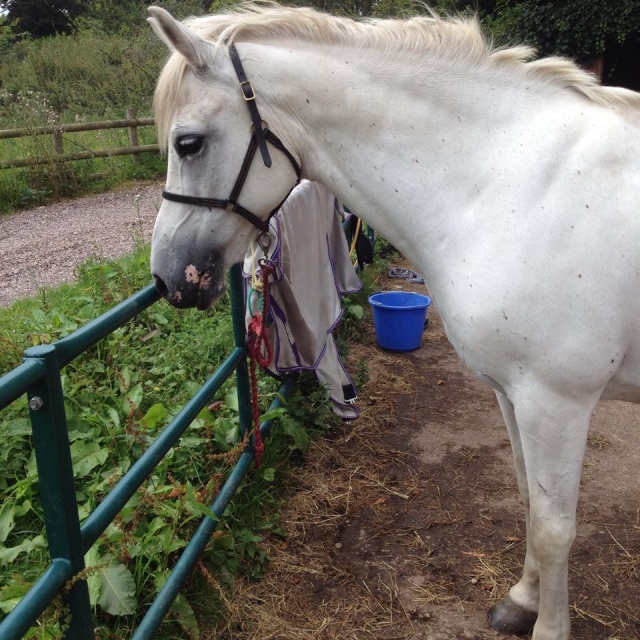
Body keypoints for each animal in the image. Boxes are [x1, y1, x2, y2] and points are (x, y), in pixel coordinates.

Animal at [146, 4, 640, 639]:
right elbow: (529, 499)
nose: (167, 278)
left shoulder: (557, 403)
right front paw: (521, 599)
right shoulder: (514, 394)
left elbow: (556, 529)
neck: (513, 183)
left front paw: (549, 626)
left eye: (188, 143)